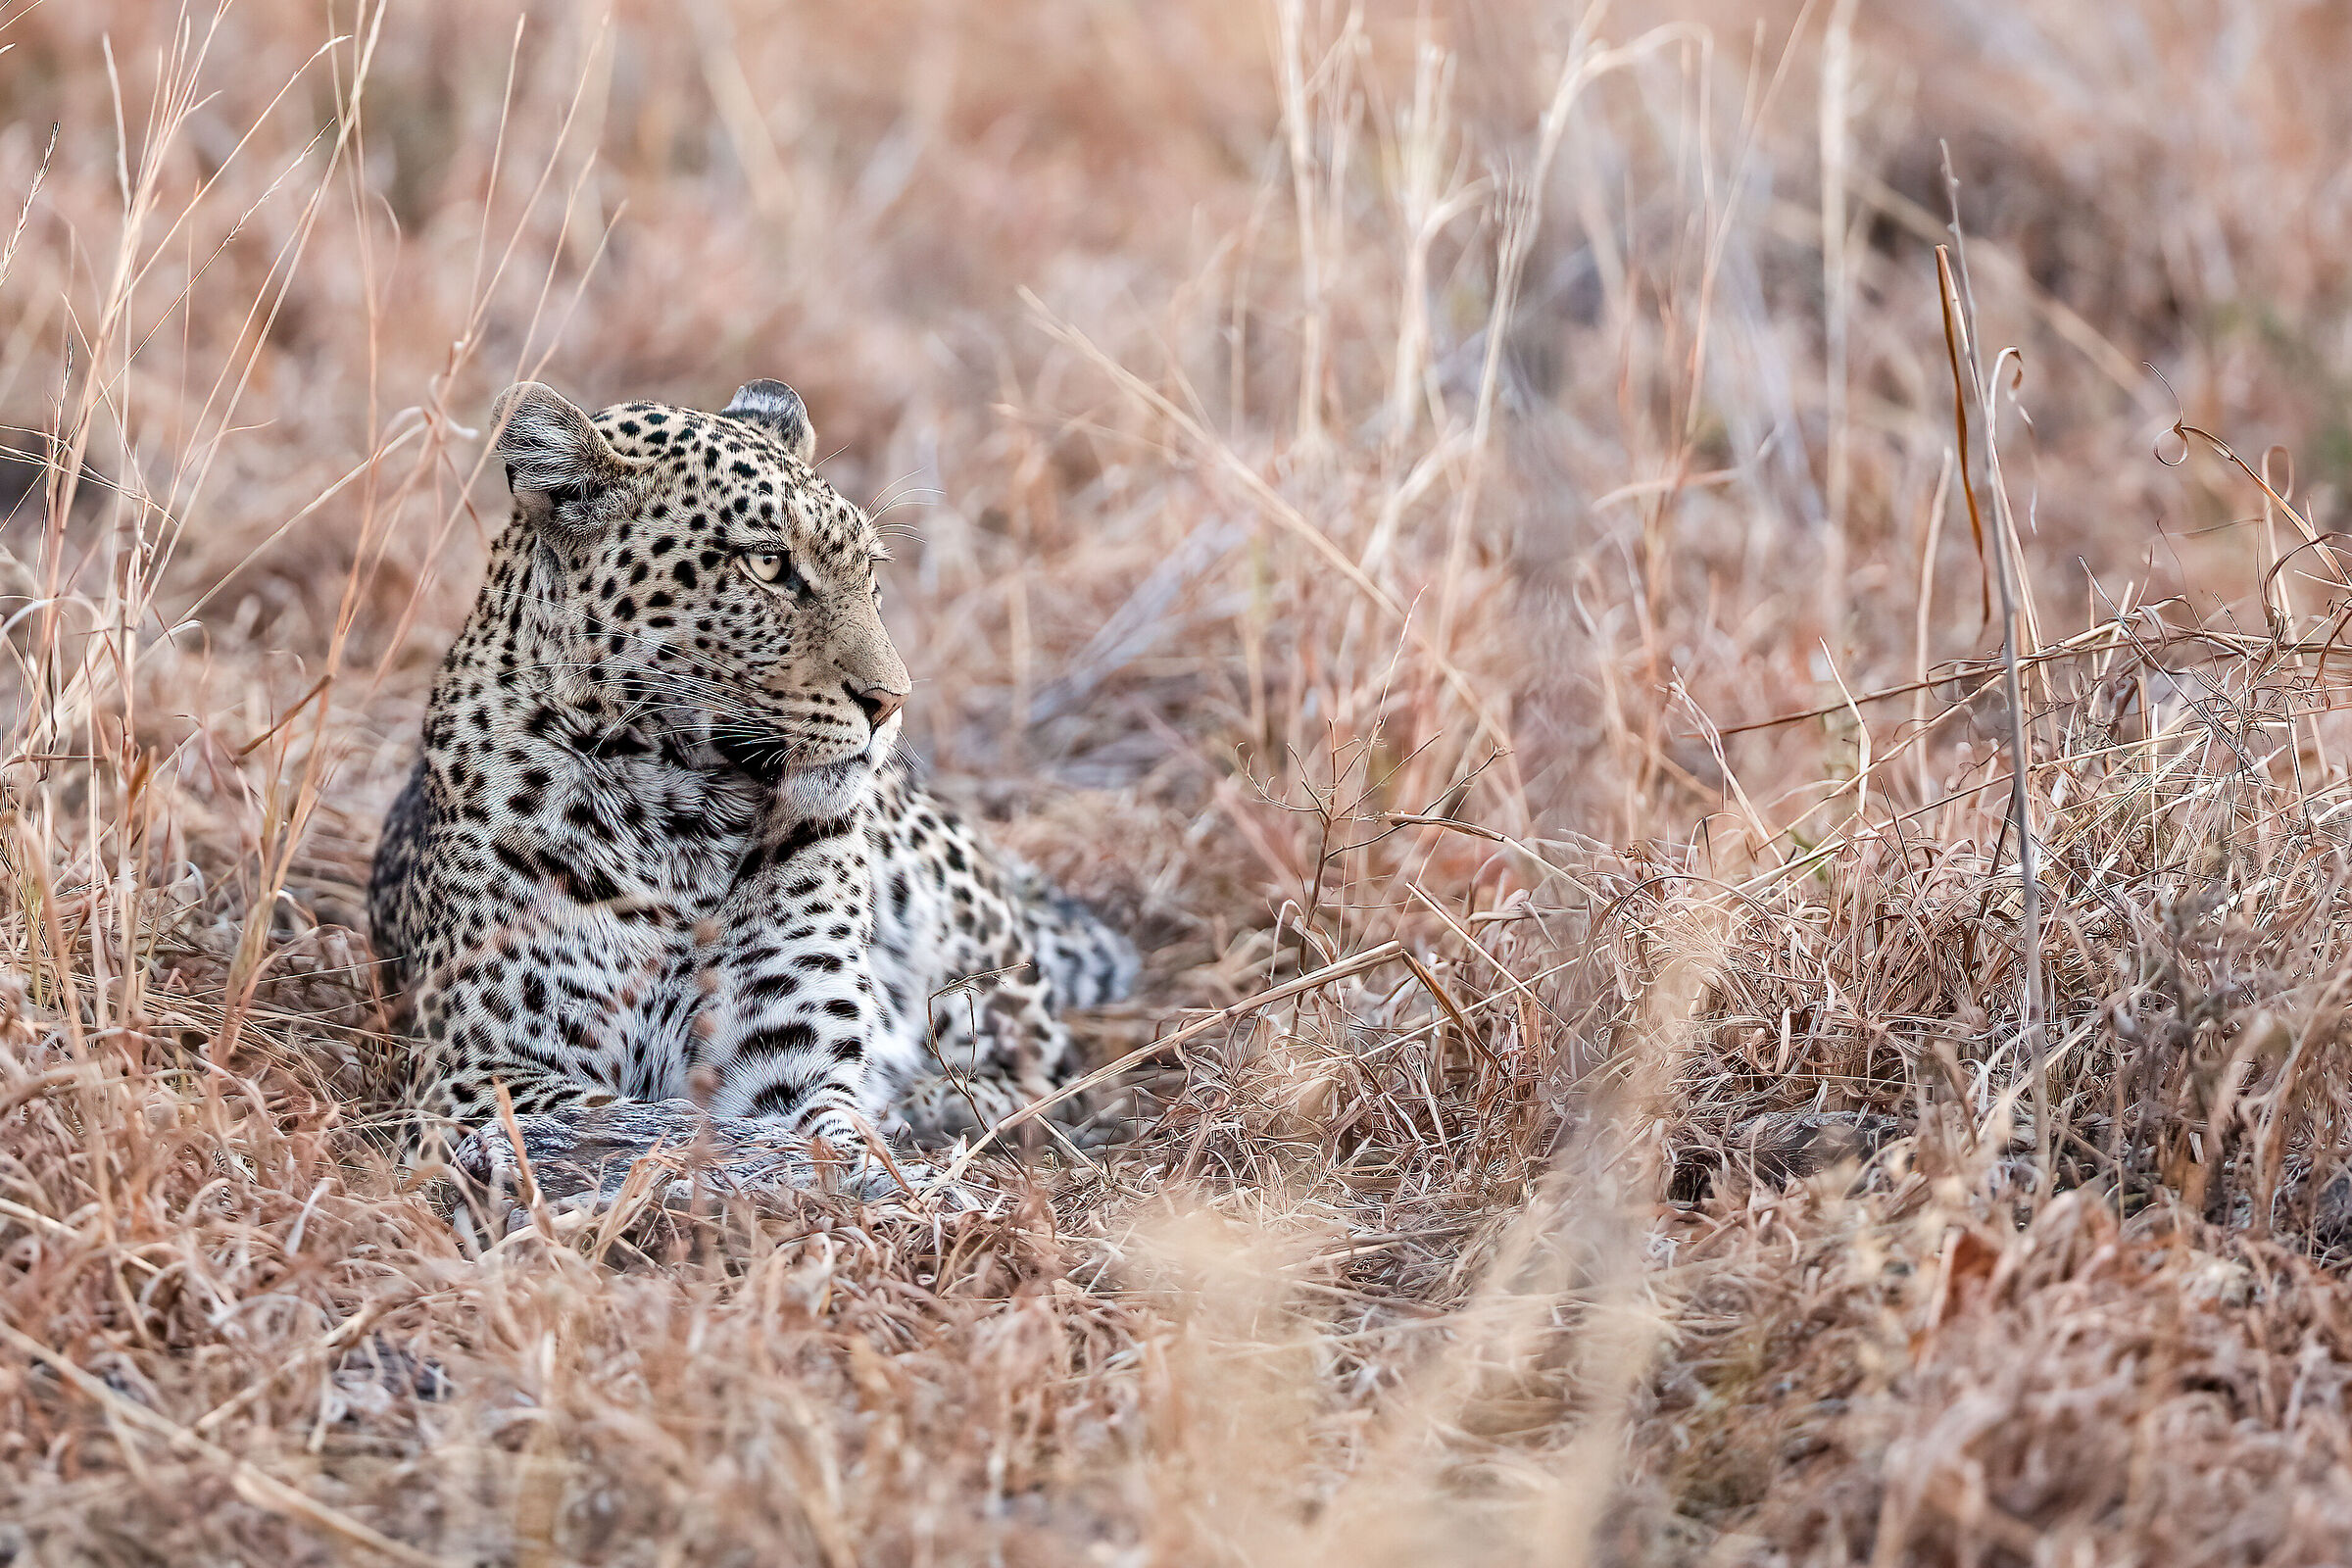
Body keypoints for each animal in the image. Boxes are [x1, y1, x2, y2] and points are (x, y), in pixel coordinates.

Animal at [366, 377, 1136, 1210]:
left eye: (870, 574)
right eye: (768, 566)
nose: (892, 702)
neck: (677, 816)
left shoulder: (787, 1058)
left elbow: (817, 1128)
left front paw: (905, 1183)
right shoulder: (477, 1075)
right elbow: (644, 1120)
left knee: (1039, 1064)